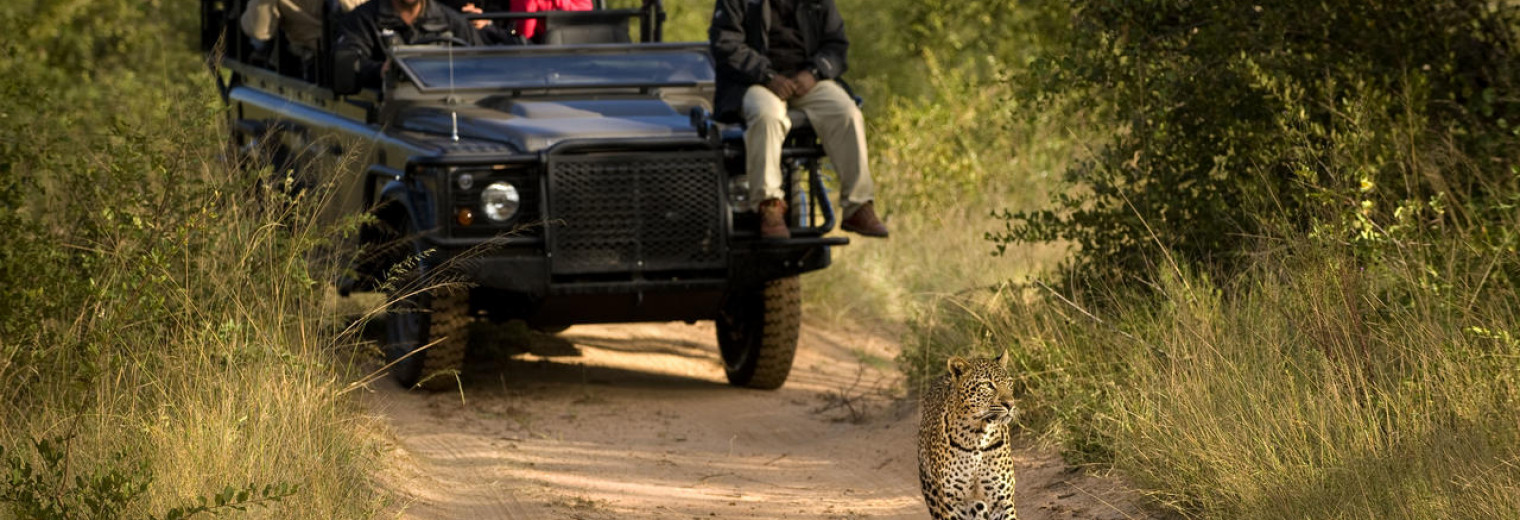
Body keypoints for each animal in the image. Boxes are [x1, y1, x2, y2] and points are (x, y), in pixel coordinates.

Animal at [918, 349, 1015, 520]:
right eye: (988, 385)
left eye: (1009, 383)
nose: (1011, 404)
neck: (978, 435)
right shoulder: (952, 504)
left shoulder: (1002, 499)